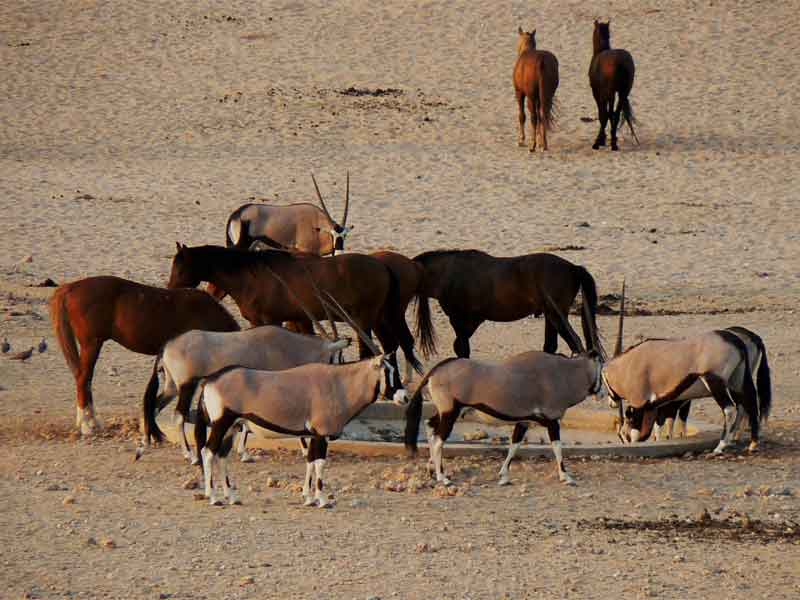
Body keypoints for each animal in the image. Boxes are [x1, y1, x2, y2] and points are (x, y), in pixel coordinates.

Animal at [413, 250, 603, 359]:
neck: (448, 273)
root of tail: (573, 267)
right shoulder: (472, 320)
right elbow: (461, 346)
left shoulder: (459, 318)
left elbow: (461, 348)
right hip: (551, 316)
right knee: (551, 347)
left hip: (556, 316)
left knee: (575, 343)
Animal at [588, 20, 639, 151]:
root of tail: (621, 63)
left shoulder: (598, 93)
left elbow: (603, 115)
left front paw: (600, 140)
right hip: (623, 92)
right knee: (616, 114)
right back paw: (614, 142)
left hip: (610, 93)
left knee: (610, 113)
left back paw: (604, 142)